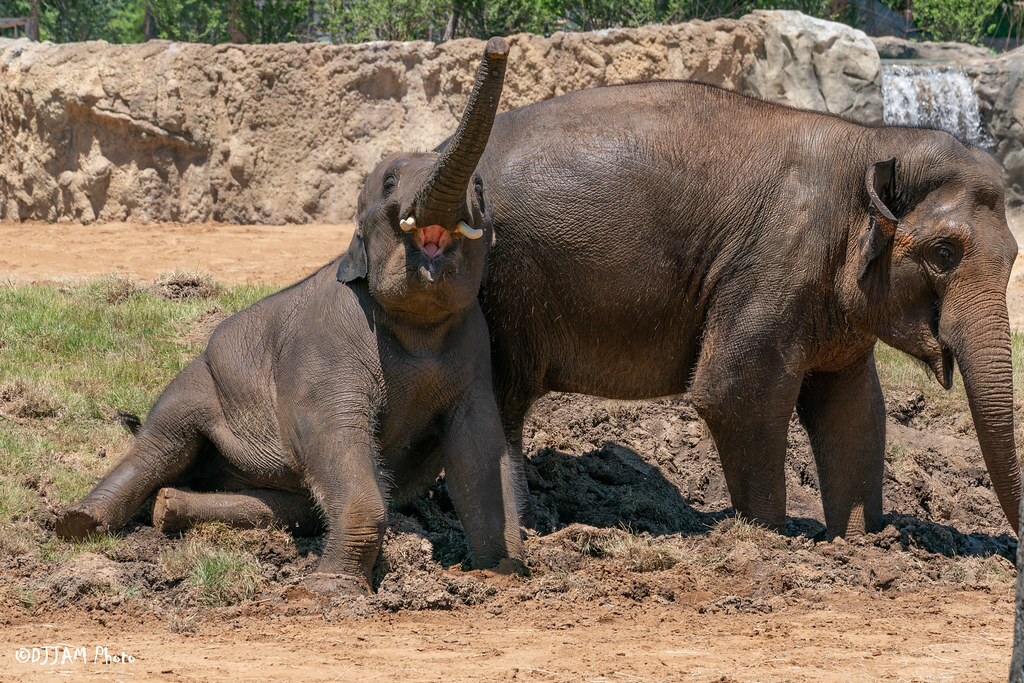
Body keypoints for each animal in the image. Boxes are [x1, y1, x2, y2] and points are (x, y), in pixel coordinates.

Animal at [55, 38, 525, 594]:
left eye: (481, 190)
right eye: (389, 182)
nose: (498, 46)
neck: (417, 324)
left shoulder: (476, 353)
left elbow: (478, 447)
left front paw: (503, 573)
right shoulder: (327, 346)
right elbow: (330, 432)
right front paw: (332, 591)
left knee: (291, 504)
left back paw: (168, 508)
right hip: (198, 383)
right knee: (160, 445)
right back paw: (77, 525)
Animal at [462, 79, 1021, 540]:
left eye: (1014, 255)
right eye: (944, 253)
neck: (872, 142)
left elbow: (854, 407)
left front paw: (860, 542)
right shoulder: (777, 260)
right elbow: (735, 392)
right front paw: (771, 538)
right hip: (502, 288)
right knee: (502, 399)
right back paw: (524, 531)